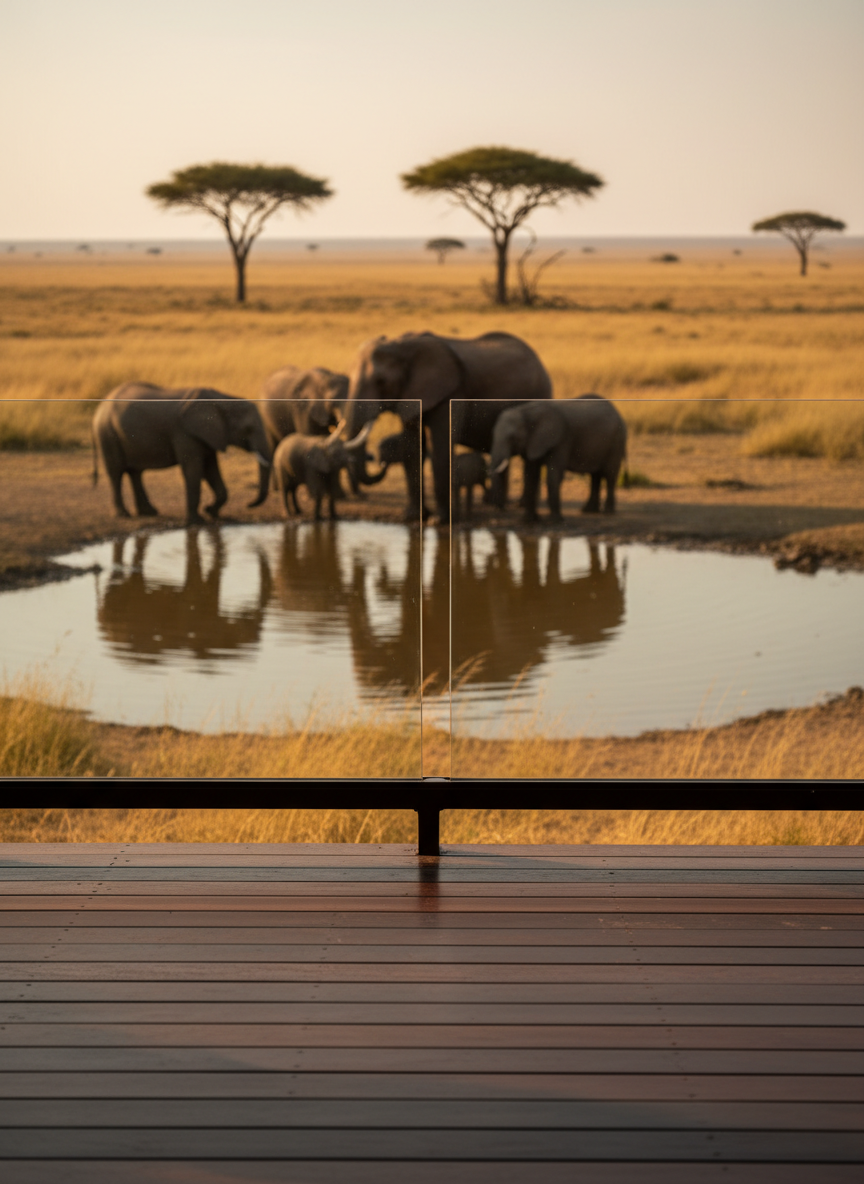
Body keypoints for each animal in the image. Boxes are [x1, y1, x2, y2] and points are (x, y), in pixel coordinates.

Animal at [92, 383, 271, 525]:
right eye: (248, 429)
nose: (248, 504)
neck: (223, 399)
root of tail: (100, 407)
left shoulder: (208, 435)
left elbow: (210, 469)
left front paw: (210, 512)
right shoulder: (185, 433)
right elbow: (193, 469)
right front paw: (197, 521)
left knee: (135, 472)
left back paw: (149, 512)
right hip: (108, 434)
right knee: (116, 472)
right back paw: (123, 515)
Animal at [344, 331, 552, 521]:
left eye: (382, 381)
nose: (380, 462)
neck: (403, 344)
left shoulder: (450, 393)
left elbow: (440, 447)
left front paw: (439, 520)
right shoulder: (409, 394)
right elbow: (412, 447)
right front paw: (413, 517)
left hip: (540, 394)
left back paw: (516, 507)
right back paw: (500, 506)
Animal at [489, 393, 627, 521]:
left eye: (512, 438)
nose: (501, 510)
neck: (527, 411)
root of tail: (619, 414)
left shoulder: (561, 440)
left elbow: (554, 475)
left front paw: (555, 521)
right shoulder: (533, 441)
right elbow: (531, 476)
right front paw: (528, 521)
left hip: (616, 442)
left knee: (609, 475)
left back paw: (607, 512)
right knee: (595, 476)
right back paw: (589, 510)